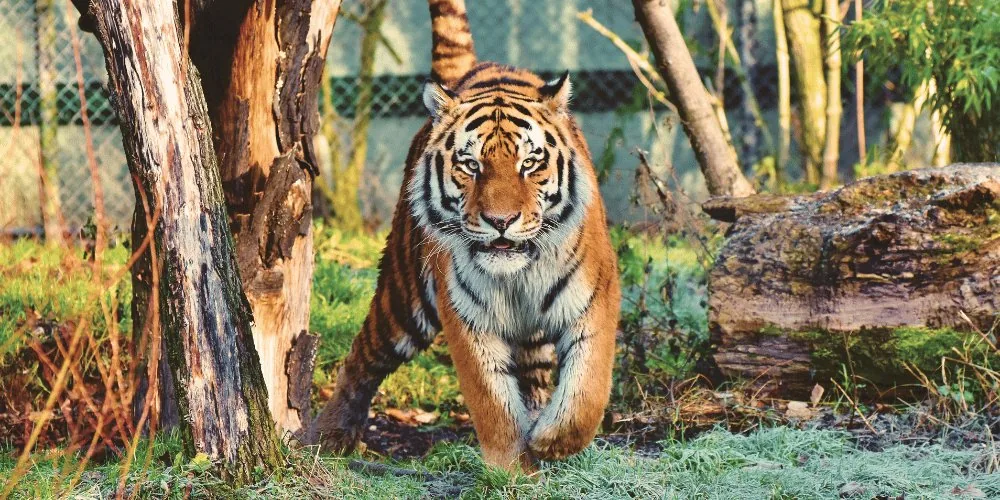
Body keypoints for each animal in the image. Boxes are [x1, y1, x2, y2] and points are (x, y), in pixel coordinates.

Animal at [310, 0, 620, 471]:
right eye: (471, 165)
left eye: (530, 163)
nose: (500, 220)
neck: (517, 275)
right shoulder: (466, 316)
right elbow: (492, 404)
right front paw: (512, 468)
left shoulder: (595, 297)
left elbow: (587, 392)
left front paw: (550, 442)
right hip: (404, 296)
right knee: (363, 356)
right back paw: (328, 435)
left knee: (534, 377)